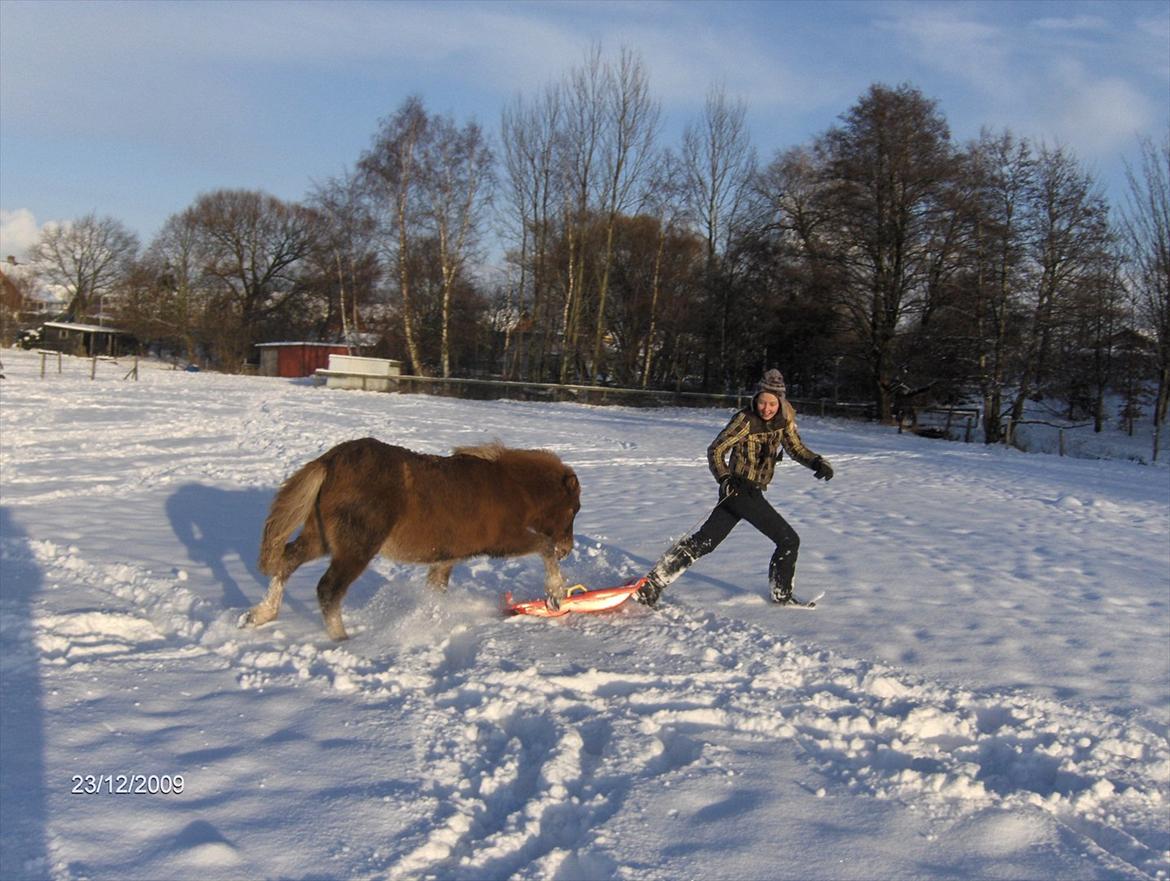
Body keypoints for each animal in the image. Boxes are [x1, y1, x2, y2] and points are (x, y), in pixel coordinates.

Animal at [243, 437, 580, 641]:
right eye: (573, 508)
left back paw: (260, 615)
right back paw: (343, 640)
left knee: (287, 561)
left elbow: (436, 589)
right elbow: (543, 547)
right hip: (356, 548)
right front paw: (555, 594)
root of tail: (329, 462)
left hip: (321, 539)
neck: (511, 487)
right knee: (328, 588)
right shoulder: (504, 541)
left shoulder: (447, 557)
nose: (568, 549)